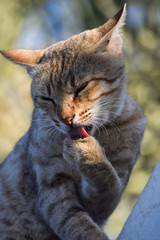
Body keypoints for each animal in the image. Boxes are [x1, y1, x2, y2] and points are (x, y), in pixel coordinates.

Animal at [0, 4, 146, 240]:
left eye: (81, 87)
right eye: (47, 98)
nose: (66, 119)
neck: (102, 136)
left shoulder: (112, 186)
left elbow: (108, 185)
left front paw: (88, 154)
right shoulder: (52, 190)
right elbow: (77, 225)